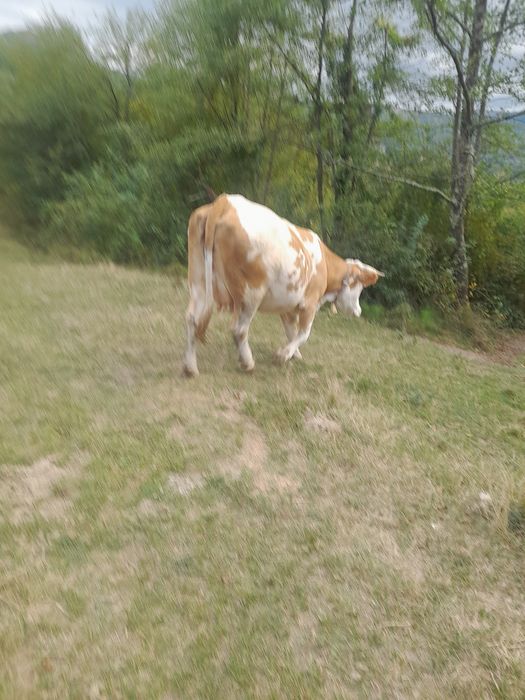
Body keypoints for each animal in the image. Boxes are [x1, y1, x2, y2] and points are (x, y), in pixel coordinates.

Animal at [183, 194, 383, 376]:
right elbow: (303, 333)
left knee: (192, 319)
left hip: (199, 282)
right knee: (239, 329)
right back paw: (248, 363)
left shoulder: (288, 306)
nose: (359, 311)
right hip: (251, 293)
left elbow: (291, 332)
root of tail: (225, 202)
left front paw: (294, 354)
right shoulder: (309, 303)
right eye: (360, 288)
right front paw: (283, 355)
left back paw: (190, 368)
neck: (325, 265)